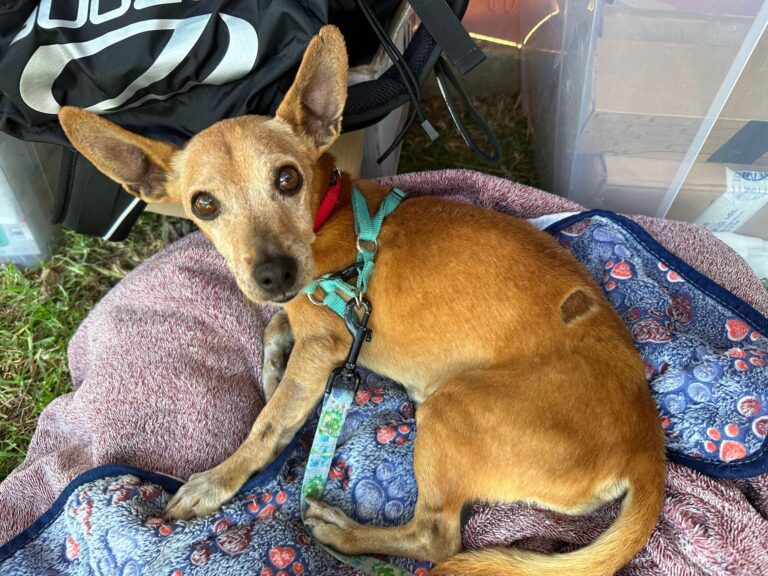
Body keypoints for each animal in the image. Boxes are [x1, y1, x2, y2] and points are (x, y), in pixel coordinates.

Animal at [58, 25, 665, 576]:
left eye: (287, 178)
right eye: (203, 204)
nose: (274, 274)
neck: (328, 213)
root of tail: (646, 446)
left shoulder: (322, 343)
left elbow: (267, 424)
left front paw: (218, 479)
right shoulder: (308, 318)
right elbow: (273, 330)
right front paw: (271, 369)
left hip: (449, 409)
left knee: (437, 539)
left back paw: (344, 532)